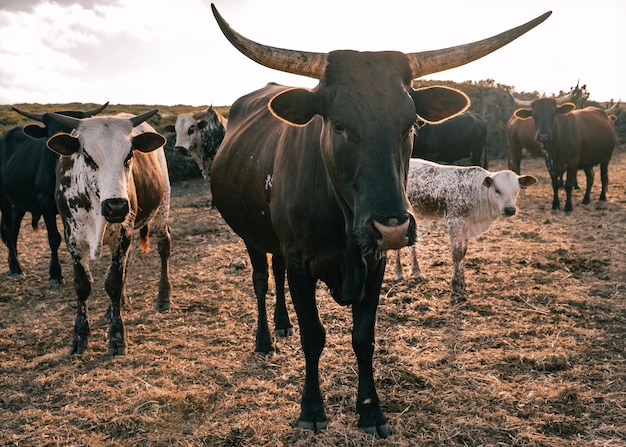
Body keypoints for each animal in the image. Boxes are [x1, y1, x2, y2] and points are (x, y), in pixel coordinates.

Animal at [0, 103, 108, 284]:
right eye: (51, 137)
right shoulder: (46, 206)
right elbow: (54, 238)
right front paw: (55, 274)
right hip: (4, 200)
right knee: (8, 228)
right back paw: (16, 267)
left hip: (20, 202)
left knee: (15, 227)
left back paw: (12, 263)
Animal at [45, 110, 173, 356]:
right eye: (87, 156)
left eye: (129, 154)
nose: (117, 207)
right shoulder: (73, 237)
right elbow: (82, 285)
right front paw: (80, 337)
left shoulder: (122, 234)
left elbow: (113, 282)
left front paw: (116, 338)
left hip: (162, 207)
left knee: (164, 247)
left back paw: (163, 297)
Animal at [392, 158, 532, 300]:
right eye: (497, 190)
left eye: (516, 190)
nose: (510, 210)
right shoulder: (455, 222)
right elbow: (457, 253)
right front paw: (455, 286)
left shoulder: (467, 227)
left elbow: (463, 253)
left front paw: (462, 283)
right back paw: (398, 273)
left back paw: (416, 271)